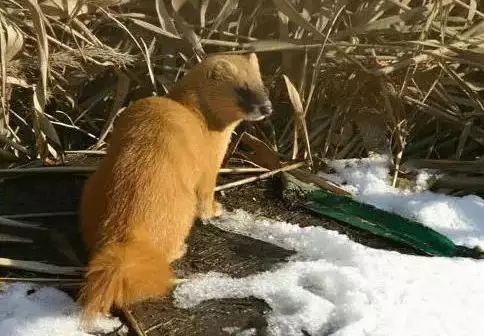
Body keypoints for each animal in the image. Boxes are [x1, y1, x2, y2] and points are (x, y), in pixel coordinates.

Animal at [77, 52, 270, 322]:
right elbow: (206, 194)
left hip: (92, 188)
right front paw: (215, 210)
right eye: (242, 89)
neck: (195, 114)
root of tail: (126, 229)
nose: (268, 107)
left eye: (262, 85)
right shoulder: (210, 163)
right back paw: (180, 248)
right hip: (182, 208)